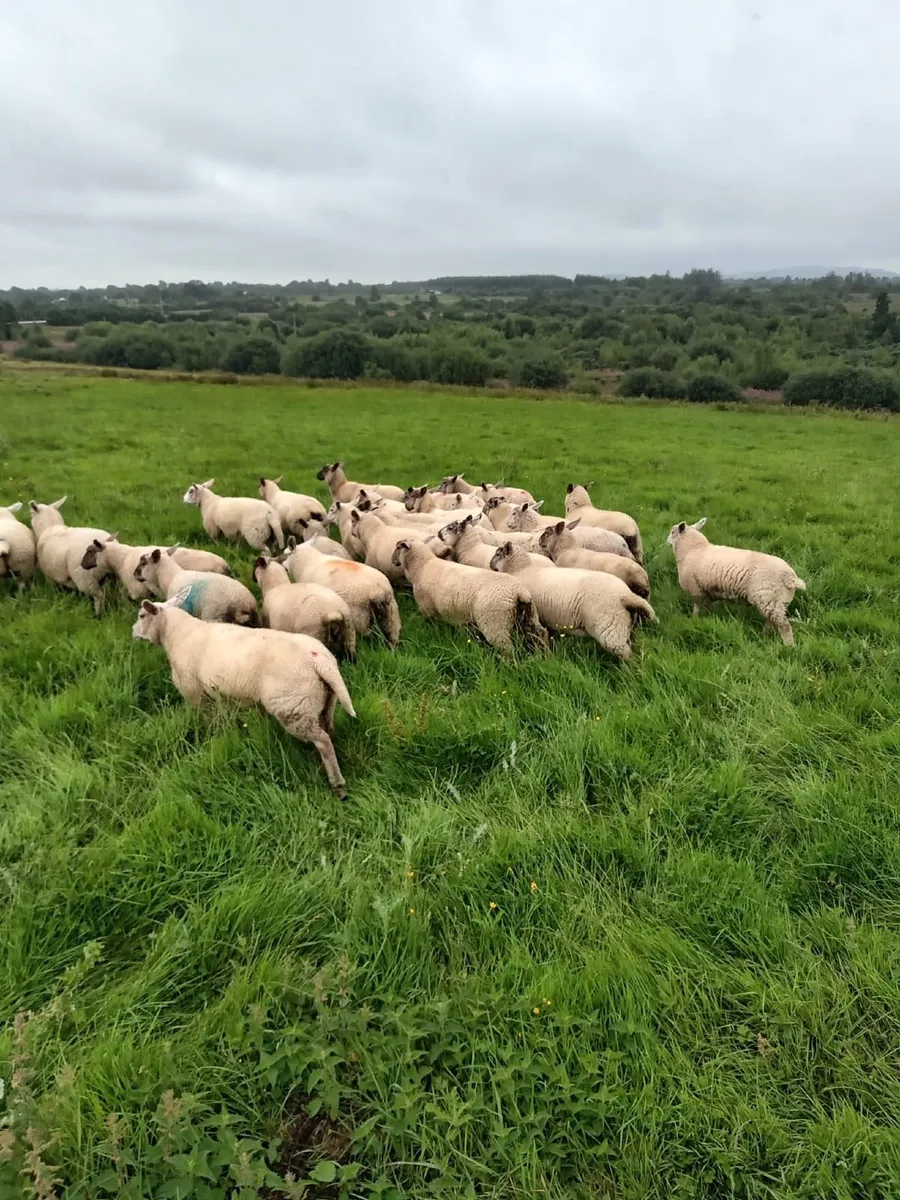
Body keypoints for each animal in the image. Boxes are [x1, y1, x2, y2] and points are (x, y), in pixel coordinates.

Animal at [133, 591, 355, 798]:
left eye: (142, 615)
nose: (133, 632)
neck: (177, 635)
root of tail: (318, 660)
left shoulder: (195, 693)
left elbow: (209, 722)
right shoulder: (219, 695)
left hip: (294, 707)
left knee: (323, 741)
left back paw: (338, 785)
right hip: (323, 702)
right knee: (328, 732)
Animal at [392, 539, 548, 654]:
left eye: (398, 547)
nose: (392, 561)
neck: (422, 566)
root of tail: (519, 592)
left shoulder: (427, 608)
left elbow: (430, 625)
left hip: (495, 624)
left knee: (508, 650)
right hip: (530, 617)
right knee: (541, 636)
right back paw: (543, 657)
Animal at [489, 542, 655, 661]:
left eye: (498, 553)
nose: (490, 565)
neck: (521, 570)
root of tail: (625, 594)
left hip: (609, 627)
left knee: (626, 655)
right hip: (626, 626)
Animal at [667, 517, 806, 645]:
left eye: (673, 532)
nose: (667, 541)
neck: (693, 549)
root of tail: (790, 576)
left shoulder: (695, 589)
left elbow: (697, 608)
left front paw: (694, 620)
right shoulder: (707, 591)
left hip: (769, 599)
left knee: (784, 626)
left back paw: (789, 647)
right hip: (779, 601)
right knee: (772, 622)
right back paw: (764, 635)